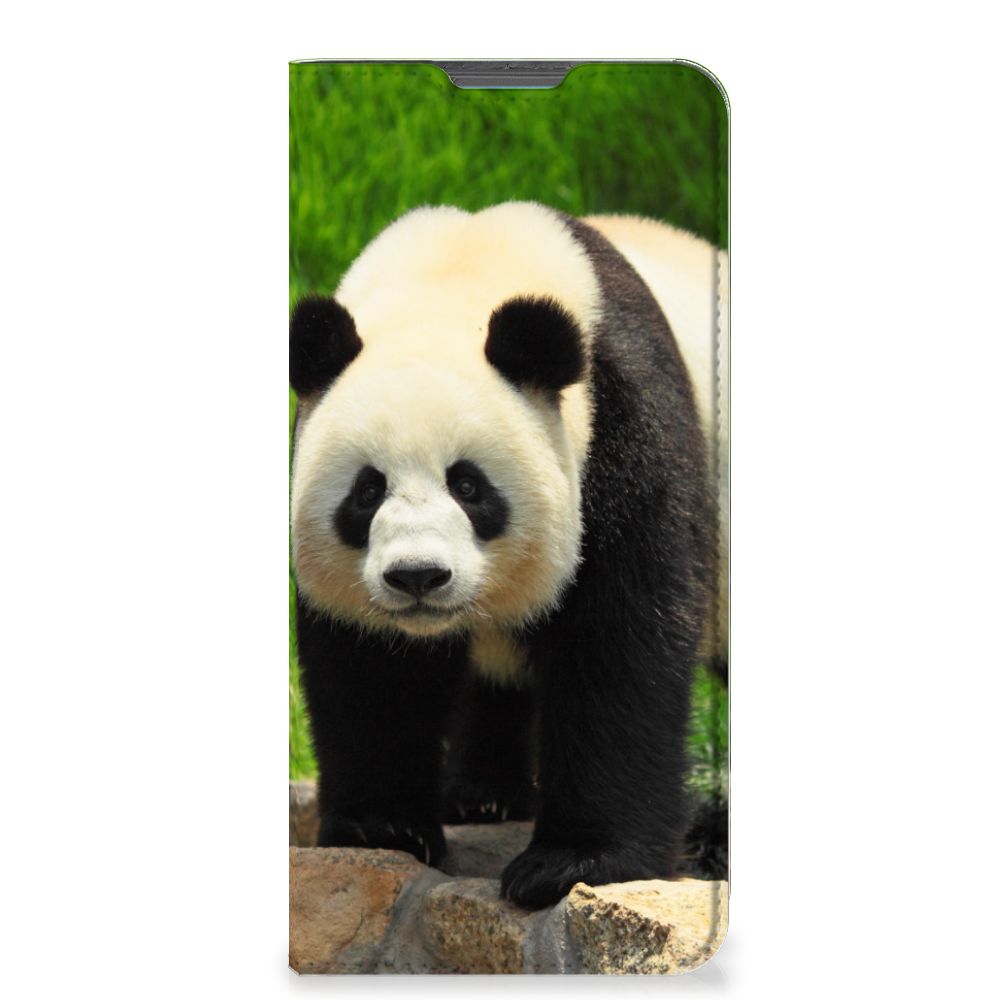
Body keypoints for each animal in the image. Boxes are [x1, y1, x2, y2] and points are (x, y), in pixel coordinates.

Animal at [290, 201, 728, 909]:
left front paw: (572, 862)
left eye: (468, 486)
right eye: (367, 490)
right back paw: (482, 795)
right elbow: (369, 667)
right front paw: (381, 828)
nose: (418, 577)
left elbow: (621, 642)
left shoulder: (623, 427)